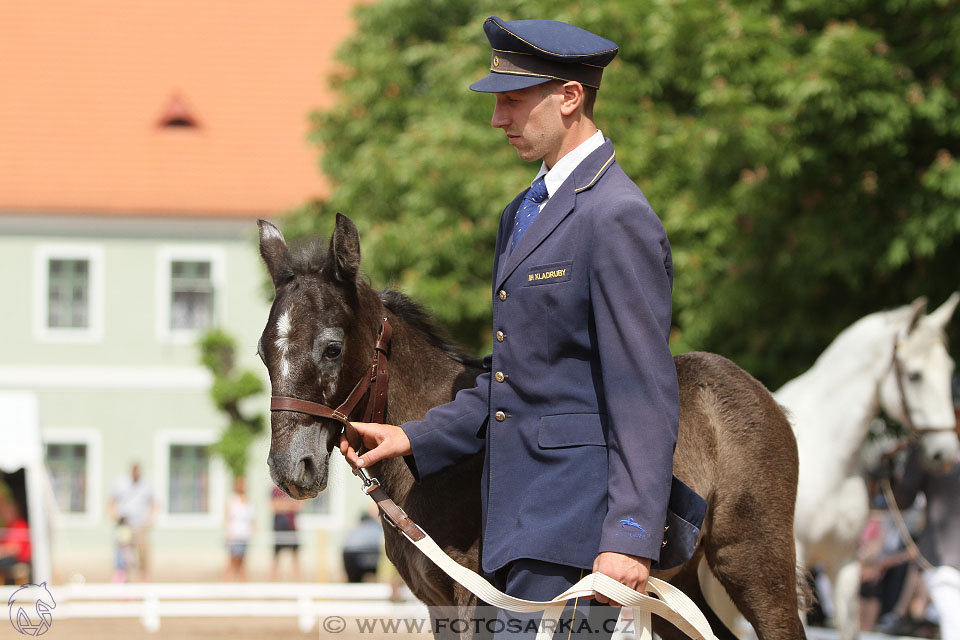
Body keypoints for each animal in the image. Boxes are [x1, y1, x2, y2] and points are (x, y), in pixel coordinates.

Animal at [256, 216, 808, 640]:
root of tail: (760, 394)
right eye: (263, 352)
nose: (291, 469)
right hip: (673, 582)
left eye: (331, 347)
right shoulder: (437, 602)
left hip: (753, 561)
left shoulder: (481, 597)